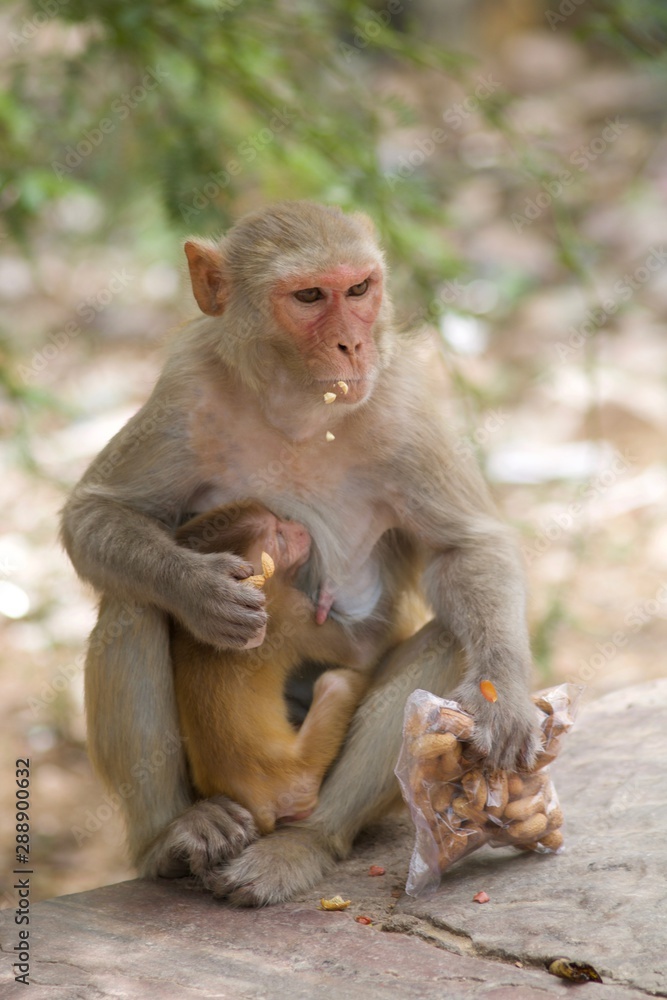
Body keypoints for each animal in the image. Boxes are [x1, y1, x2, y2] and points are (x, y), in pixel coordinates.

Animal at [171, 500, 370, 836]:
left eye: (282, 521)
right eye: (279, 536)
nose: (300, 528)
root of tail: (260, 802)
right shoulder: (292, 610)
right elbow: (363, 651)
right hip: (300, 775)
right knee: (337, 683)